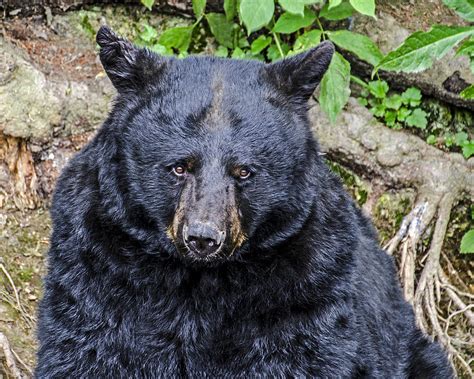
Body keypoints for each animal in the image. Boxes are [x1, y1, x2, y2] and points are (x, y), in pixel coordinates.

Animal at [36, 25, 452, 378]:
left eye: (244, 171)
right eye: (179, 167)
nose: (203, 238)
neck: (197, 281)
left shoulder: (308, 294)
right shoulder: (98, 269)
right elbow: (87, 349)